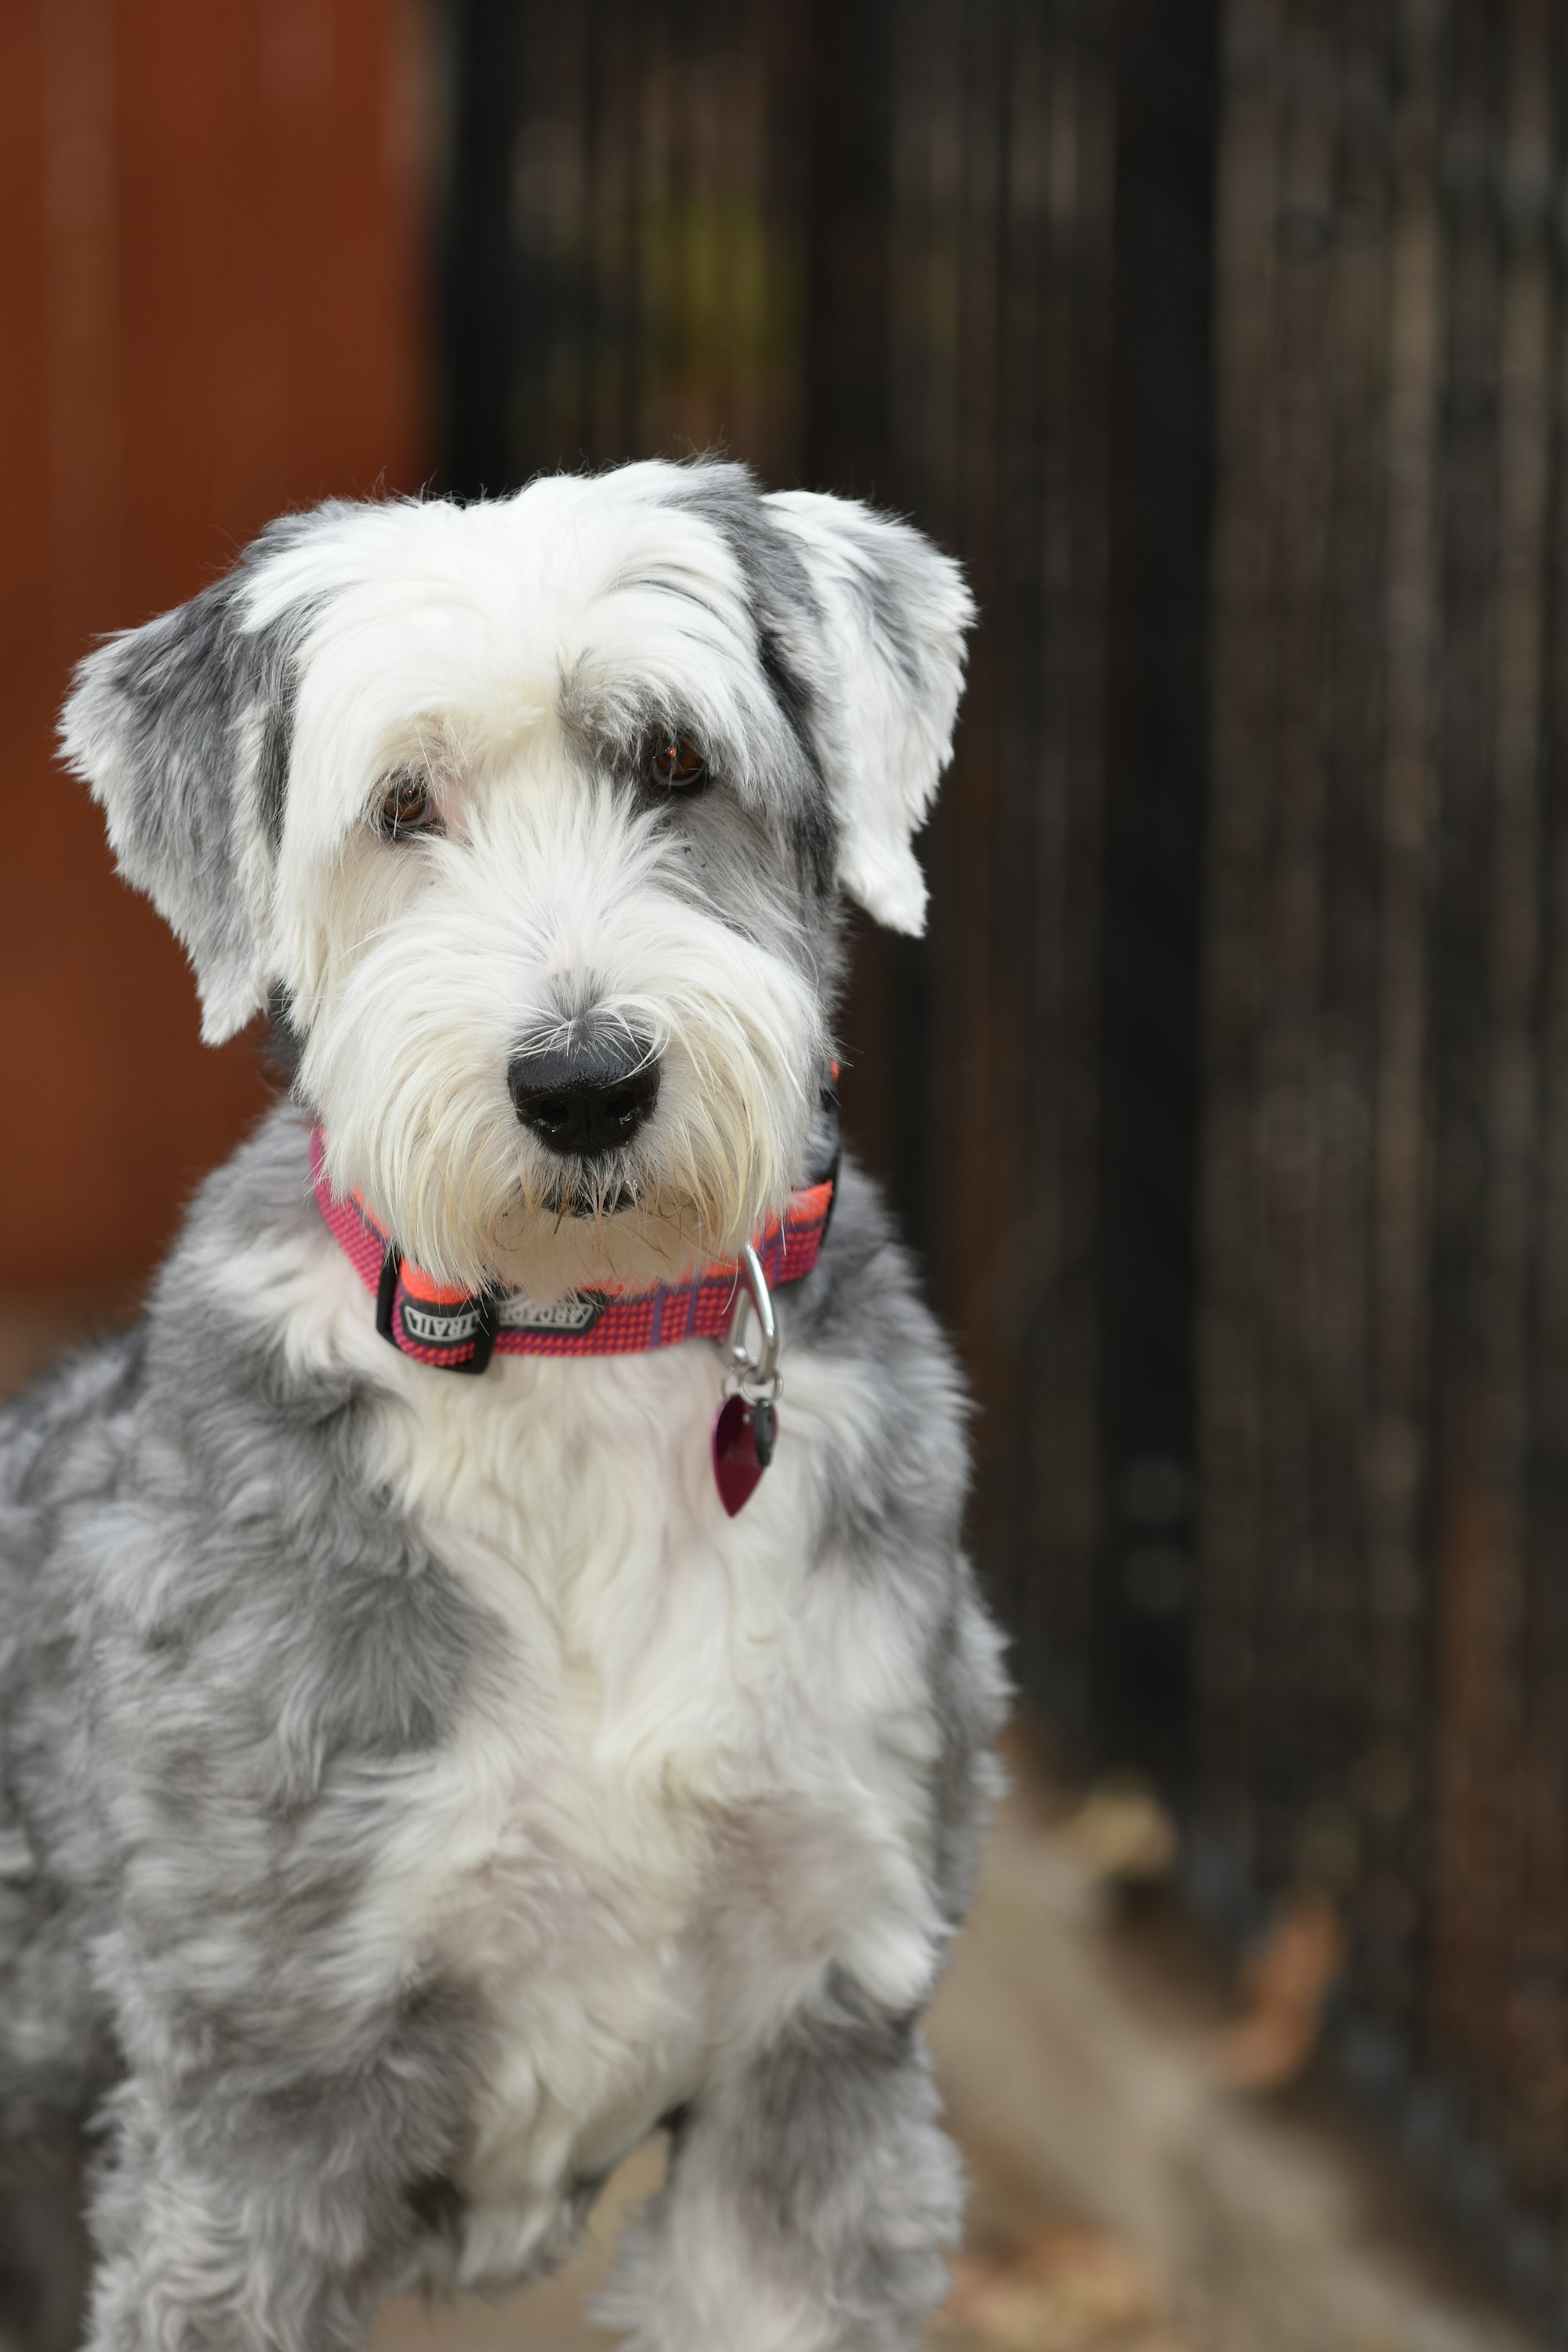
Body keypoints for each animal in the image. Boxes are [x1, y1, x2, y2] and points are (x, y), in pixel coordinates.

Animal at [0, 459, 1006, 2352]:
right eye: (404, 805)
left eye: (675, 761)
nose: (585, 1084)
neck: (572, 1352)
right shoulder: (257, 2100)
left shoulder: (813, 2048)